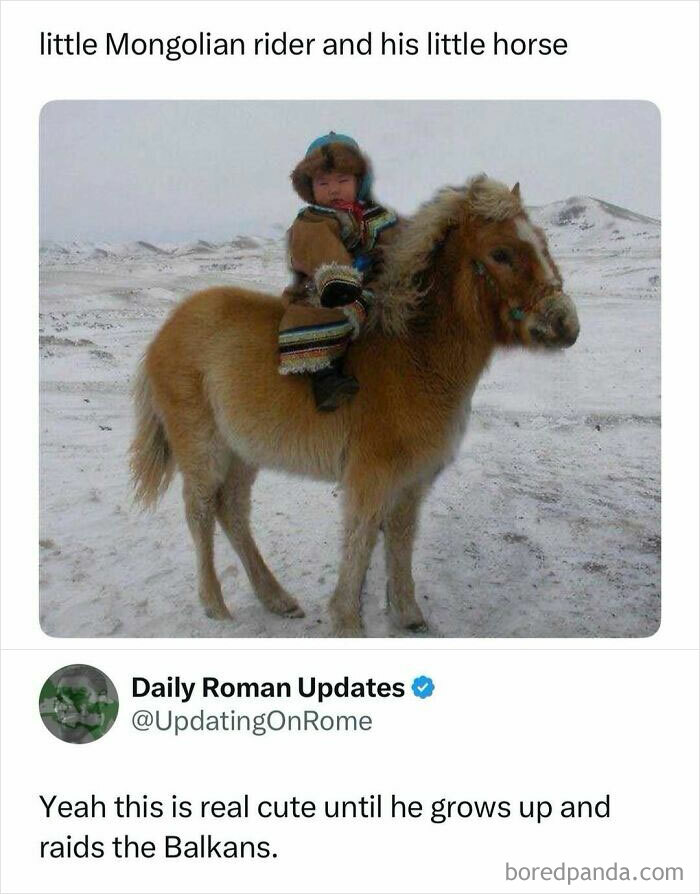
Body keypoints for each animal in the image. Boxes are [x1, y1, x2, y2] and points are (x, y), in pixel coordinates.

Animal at [130, 175, 580, 636]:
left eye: (542, 242)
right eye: (501, 253)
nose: (565, 324)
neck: (415, 355)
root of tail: (166, 331)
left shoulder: (412, 482)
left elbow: (400, 538)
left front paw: (407, 613)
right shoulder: (370, 476)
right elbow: (360, 539)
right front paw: (347, 620)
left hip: (243, 452)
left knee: (233, 512)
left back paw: (277, 599)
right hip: (203, 449)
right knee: (200, 512)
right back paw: (215, 605)